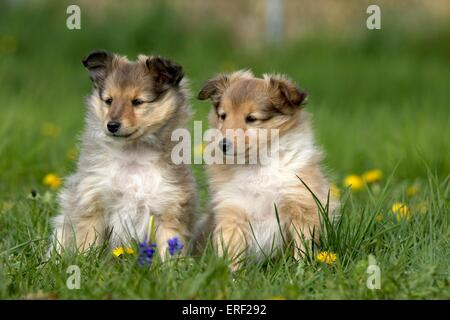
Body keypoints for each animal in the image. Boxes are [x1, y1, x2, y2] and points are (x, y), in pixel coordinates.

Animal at [49, 50, 197, 258]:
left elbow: (170, 248)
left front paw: (173, 266)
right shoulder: (92, 202)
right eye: (109, 100)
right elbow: (87, 244)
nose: (112, 125)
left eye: (137, 102)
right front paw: (85, 262)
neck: (132, 155)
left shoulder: (168, 207)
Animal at [197, 71, 338, 268]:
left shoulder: (301, 205)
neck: (257, 165)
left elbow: (303, 245)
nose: (223, 145)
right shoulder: (232, 210)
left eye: (251, 118)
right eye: (223, 116)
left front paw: (302, 268)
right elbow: (231, 250)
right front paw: (231, 273)